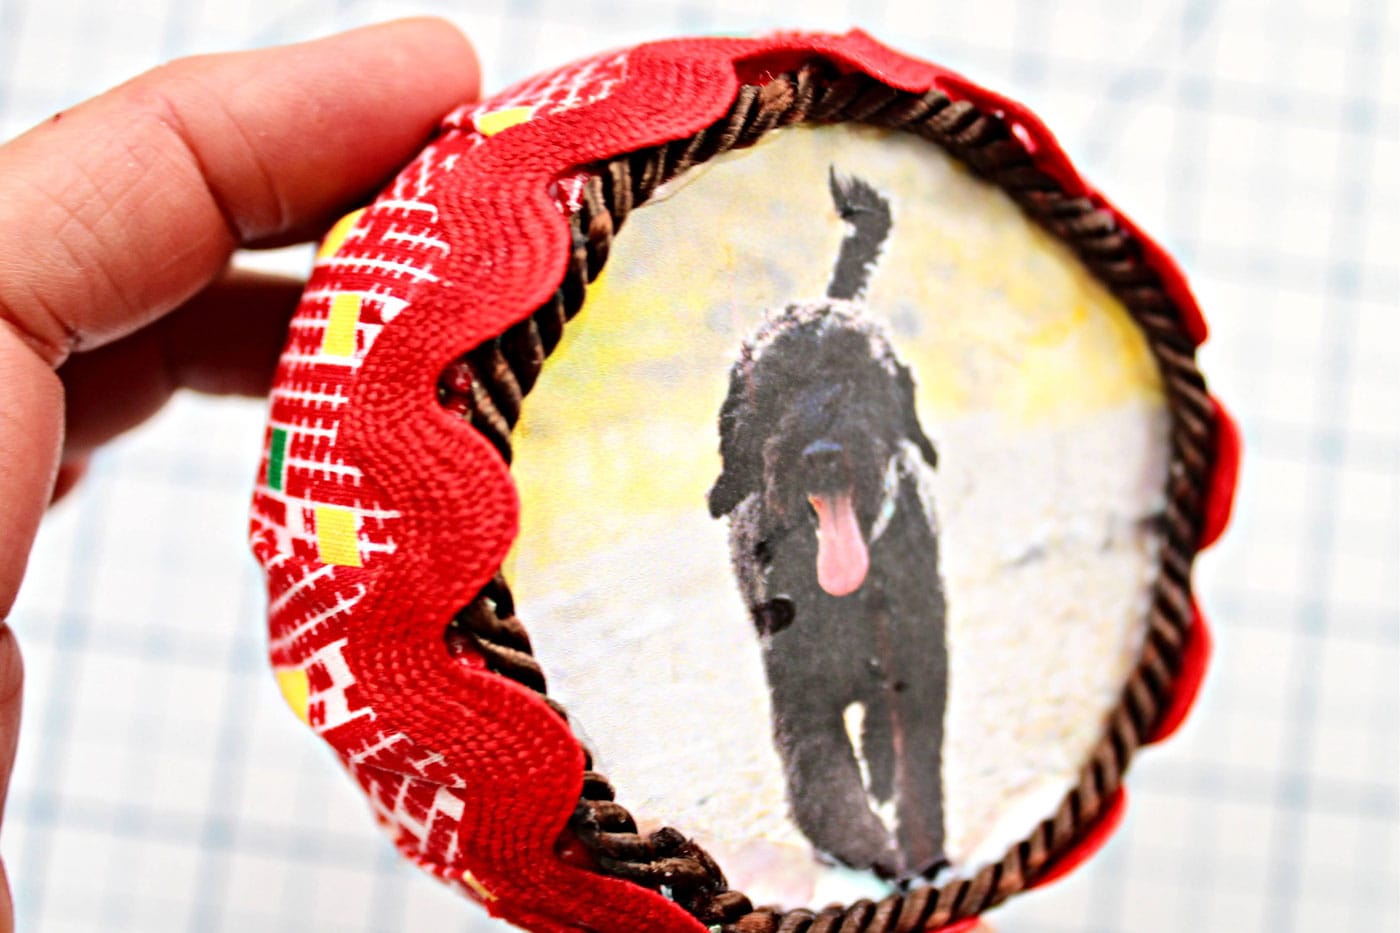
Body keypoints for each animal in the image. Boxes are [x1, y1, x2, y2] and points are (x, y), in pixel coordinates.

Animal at [711, 168, 952, 879]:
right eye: (774, 389)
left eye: (860, 378)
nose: (821, 453)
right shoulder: (801, 701)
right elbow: (826, 793)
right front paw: (870, 849)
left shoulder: (920, 673)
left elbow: (917, 783)